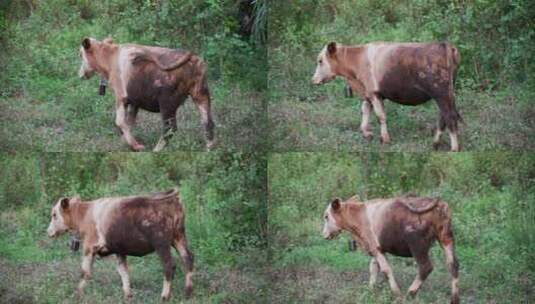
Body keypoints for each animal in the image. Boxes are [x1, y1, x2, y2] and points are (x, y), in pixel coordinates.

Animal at [46, 189, 193, 300]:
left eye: (54, 214)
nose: (48, 231)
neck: (85, 213)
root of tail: (170, 197)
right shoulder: (120, 251)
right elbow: (123, 272)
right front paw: (128, 296)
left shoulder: (89, 247)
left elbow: (85, 272)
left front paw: (78, 294)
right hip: (179, 238)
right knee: (188, 259)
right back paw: (187, 293)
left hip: (161, 244)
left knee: (169, 265)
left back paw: (165, 296)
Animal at [78, 38, 216, 152]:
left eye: (80, 54)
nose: (80, 74)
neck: (108, 59)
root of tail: (193, 60)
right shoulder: (134, 102)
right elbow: (129, 123)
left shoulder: (121, 97)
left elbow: (120, 122)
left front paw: (137, 146)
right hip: (201, 94)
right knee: (208, 123)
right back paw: (209, 151)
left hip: (167, 103)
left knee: (170, 129)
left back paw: (156, 150)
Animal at [312, 42, 462, 151]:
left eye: (320, 61)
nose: (313, 80)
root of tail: (444, 45)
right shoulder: (368, 94)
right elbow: (365, 111)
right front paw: (366, 133)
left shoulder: (374, 94)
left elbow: (380, 116)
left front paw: (385, 139)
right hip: (446, 95)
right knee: (443, 118)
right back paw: (435, 144)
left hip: (442, 94)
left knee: (450, 117)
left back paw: (454, 149)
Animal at [322, 195, 460, 304]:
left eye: (326, 216)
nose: (323, 234)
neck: (358, 216)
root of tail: (438, 203)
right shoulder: (377, 249)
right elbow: (373, 268)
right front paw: (370, 290)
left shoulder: (375, 248)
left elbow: (385, 269)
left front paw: (397, 294)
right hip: (446, 238)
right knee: (453, 264)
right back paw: (454, 299)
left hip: (417, 245)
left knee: (426, 267)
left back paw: (409, 294)